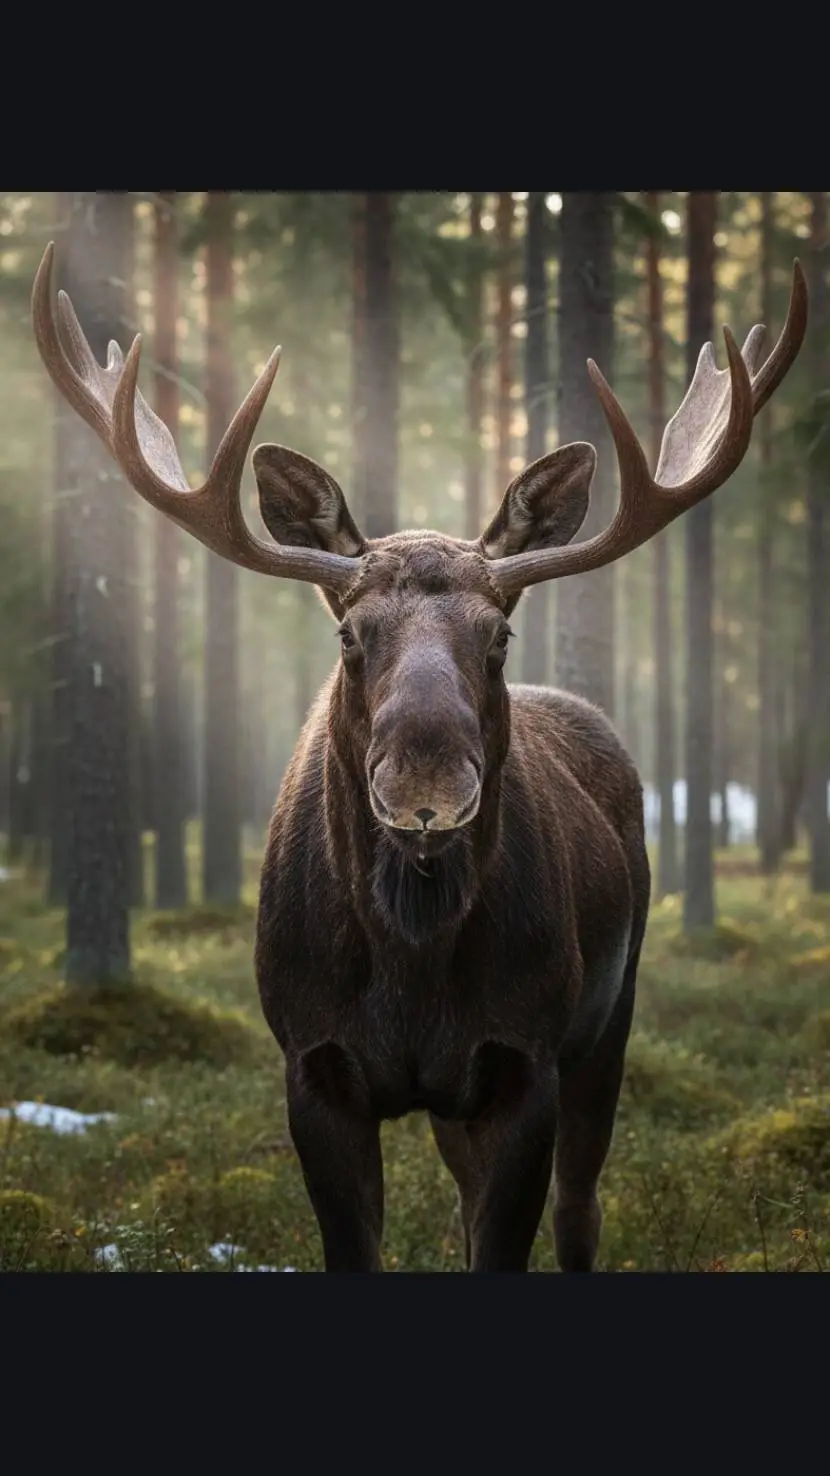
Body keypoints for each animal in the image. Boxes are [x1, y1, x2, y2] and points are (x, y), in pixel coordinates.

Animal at [32, 242, 807, 1272]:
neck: (410, 957)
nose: (428, 786)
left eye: (499, 636)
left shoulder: (525, 1058)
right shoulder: (312, 1063)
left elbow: (507, 1241)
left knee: (581, 1209)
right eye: (349, 635)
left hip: (612, 1017)